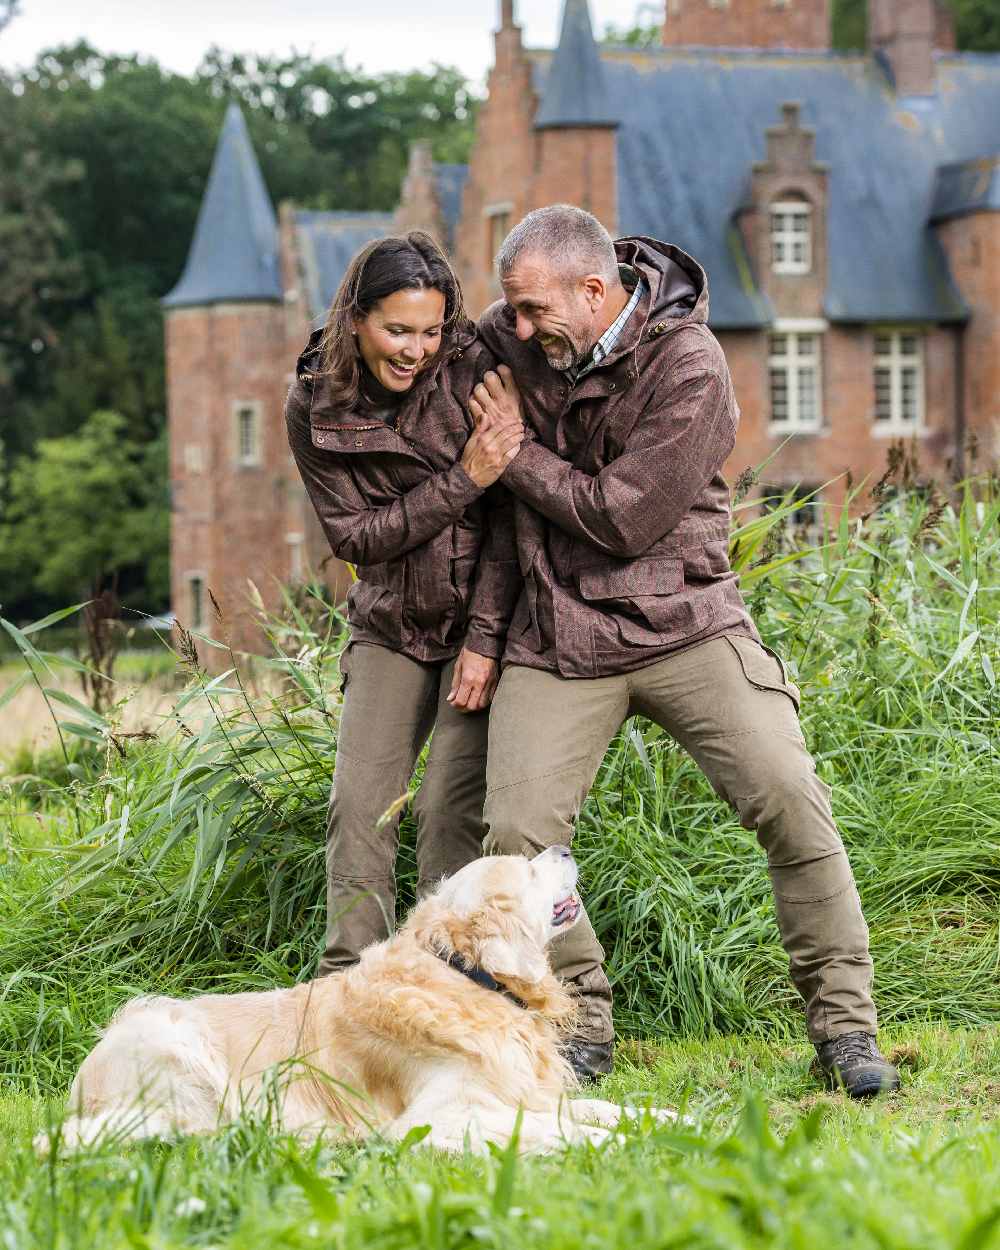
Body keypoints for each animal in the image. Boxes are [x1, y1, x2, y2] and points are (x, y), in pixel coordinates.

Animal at [43, 845, 675, 1155]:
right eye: (526, 868)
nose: (564, 846)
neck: (466, 978)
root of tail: (82, 1084)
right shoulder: (438, 1118)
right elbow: (561, 1130)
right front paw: (612, 1145)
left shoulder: (524, 1089)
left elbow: (604, 1109)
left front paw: (674, 1117)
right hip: (174, 1041)